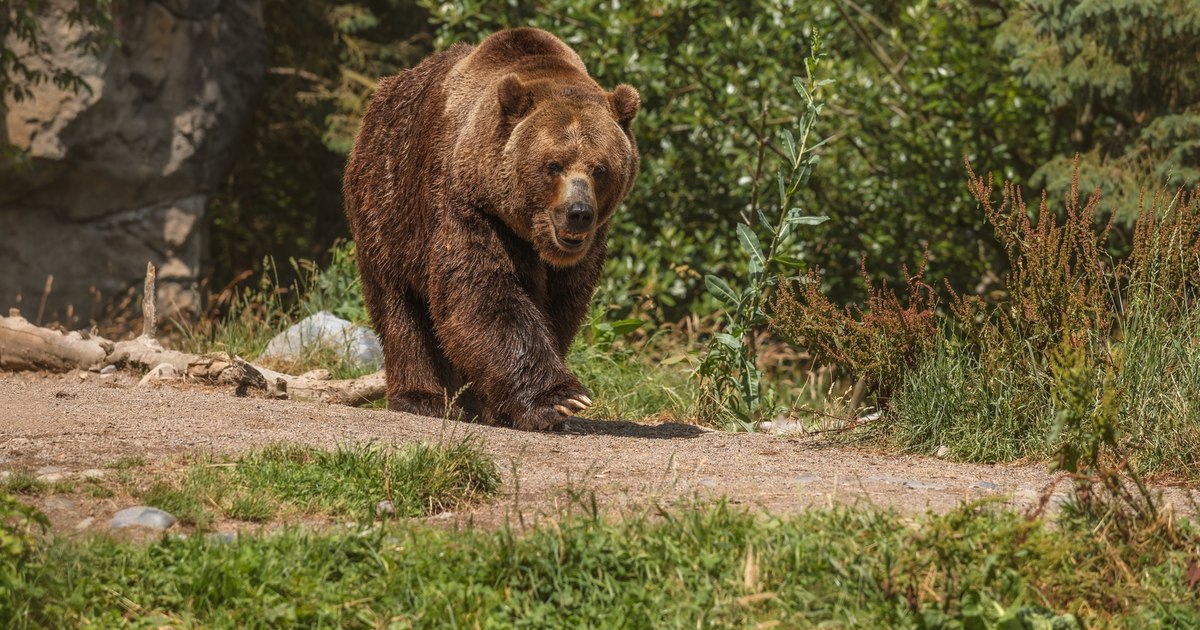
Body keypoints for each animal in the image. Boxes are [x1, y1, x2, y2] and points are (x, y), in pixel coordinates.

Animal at [342, 28, 640, 431]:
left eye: (600, 168)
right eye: (553, 165)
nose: (578, 213)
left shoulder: (583, 252)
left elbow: (561, 307)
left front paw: (505, 406)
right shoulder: (470, 206)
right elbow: (484, 293)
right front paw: (560, 399)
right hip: (387, 203)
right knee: (399, 305)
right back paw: (420, 397)